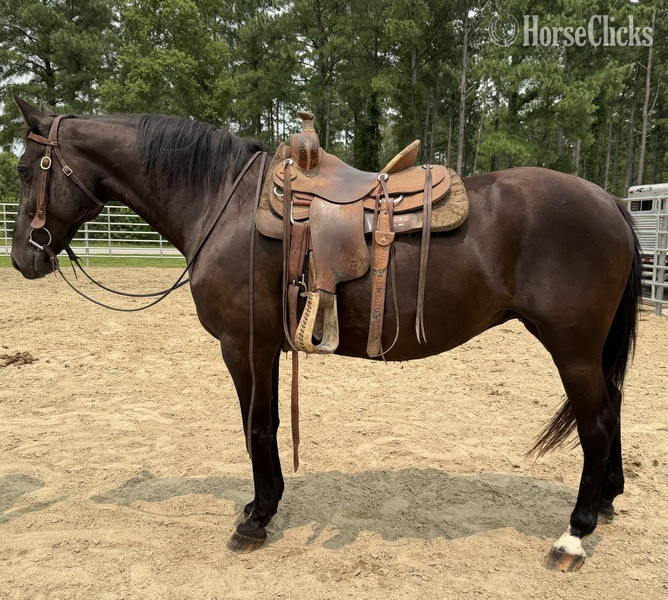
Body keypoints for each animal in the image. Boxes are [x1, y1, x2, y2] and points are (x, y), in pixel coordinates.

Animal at [9, 97, 641, 572]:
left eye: (22, 169)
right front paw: (261, 504)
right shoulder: (265, 346)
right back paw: (607, 503)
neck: (223, 205)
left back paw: (574, 535)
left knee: (595, 425)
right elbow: (263, 426)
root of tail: (609, 199)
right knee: (609, 415)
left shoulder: (244, 344)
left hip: (573, 350)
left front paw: (256, 519)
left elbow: (258, 427)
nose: (22, 259)